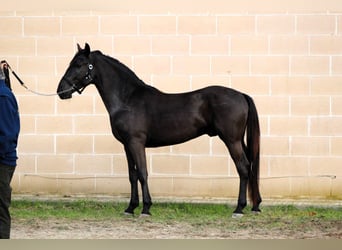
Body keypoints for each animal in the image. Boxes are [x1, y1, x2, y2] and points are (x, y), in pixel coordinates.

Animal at [56, 43, 262, 217]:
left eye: (79, 64)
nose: (61, 91)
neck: (127, 99)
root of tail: (241, 95)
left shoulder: (136, 142)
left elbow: (142, 173)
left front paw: (146, 209)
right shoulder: (126, 145)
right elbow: (132, 175)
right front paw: (130, 208)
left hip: (231, 140)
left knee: (243, 167)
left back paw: (239, 209)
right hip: (239, 141)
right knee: (250, 167)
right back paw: (255, 205)